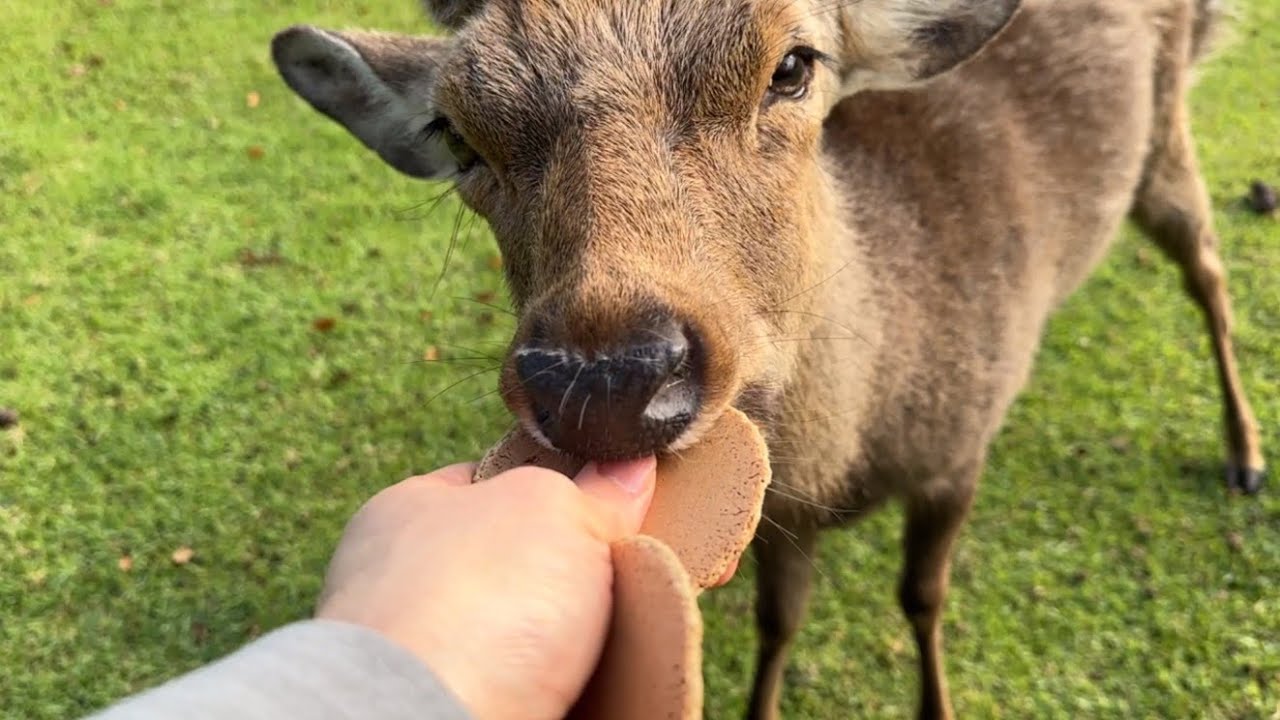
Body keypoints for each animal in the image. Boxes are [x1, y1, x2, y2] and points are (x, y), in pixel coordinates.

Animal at [268, 0, 1266, 717]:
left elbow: (924, 597)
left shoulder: (960, 446)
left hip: (1168, 137)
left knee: (1211, 273)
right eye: (457, 134)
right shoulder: (783, 513)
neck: (853, 444)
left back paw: (1246, 456)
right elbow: (780, 620)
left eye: (792, 66)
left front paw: (936, 703)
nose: (605, 379)